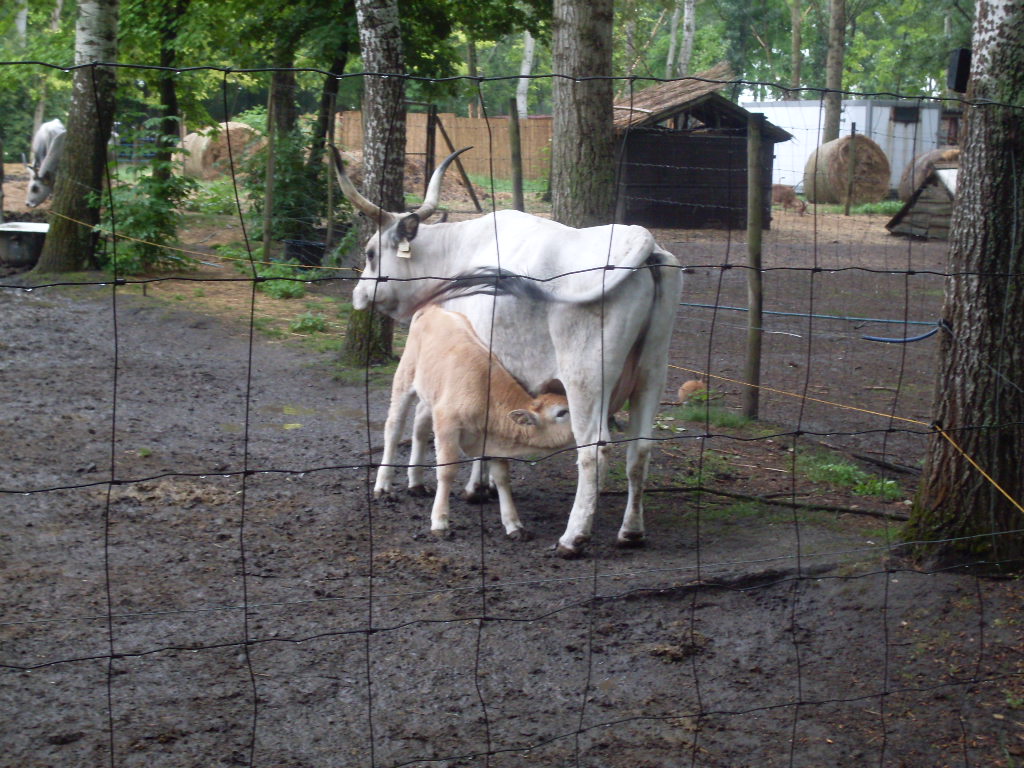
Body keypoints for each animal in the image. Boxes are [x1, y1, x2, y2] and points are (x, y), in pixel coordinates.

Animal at [375, 305, 575, 540]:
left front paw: (514, 525)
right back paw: (383, 485)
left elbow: (502, 477)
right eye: (562, 412)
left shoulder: (494, 440)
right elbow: (447, 471)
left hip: (431, 394)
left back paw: (416, 483)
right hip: (405, 376)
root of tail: (433, 308)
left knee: (420, 426)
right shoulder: (447, 424)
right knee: (394, 428)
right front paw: (440, 521)